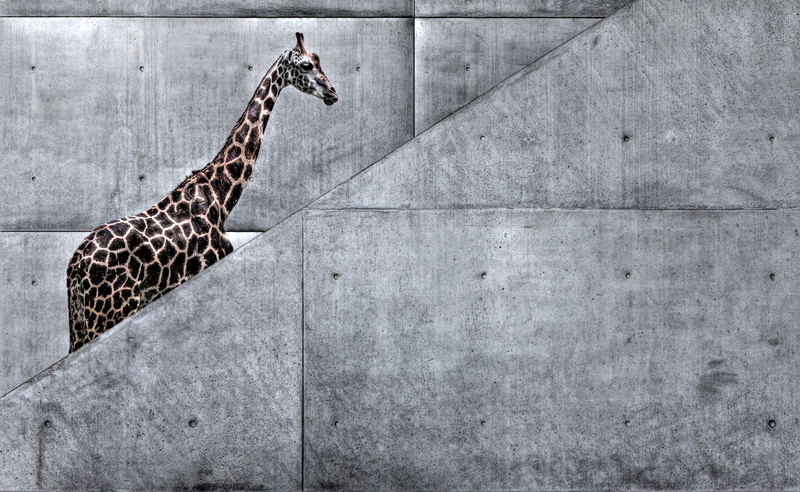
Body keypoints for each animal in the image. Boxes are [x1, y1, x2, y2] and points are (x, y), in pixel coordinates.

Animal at [67, 32, 337, 353]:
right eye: (306, 65)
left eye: (318, 60)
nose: (333, 93)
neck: (221, 197)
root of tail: (75, 266)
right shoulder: (211, 263)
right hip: (110, 311)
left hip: (82, 323)